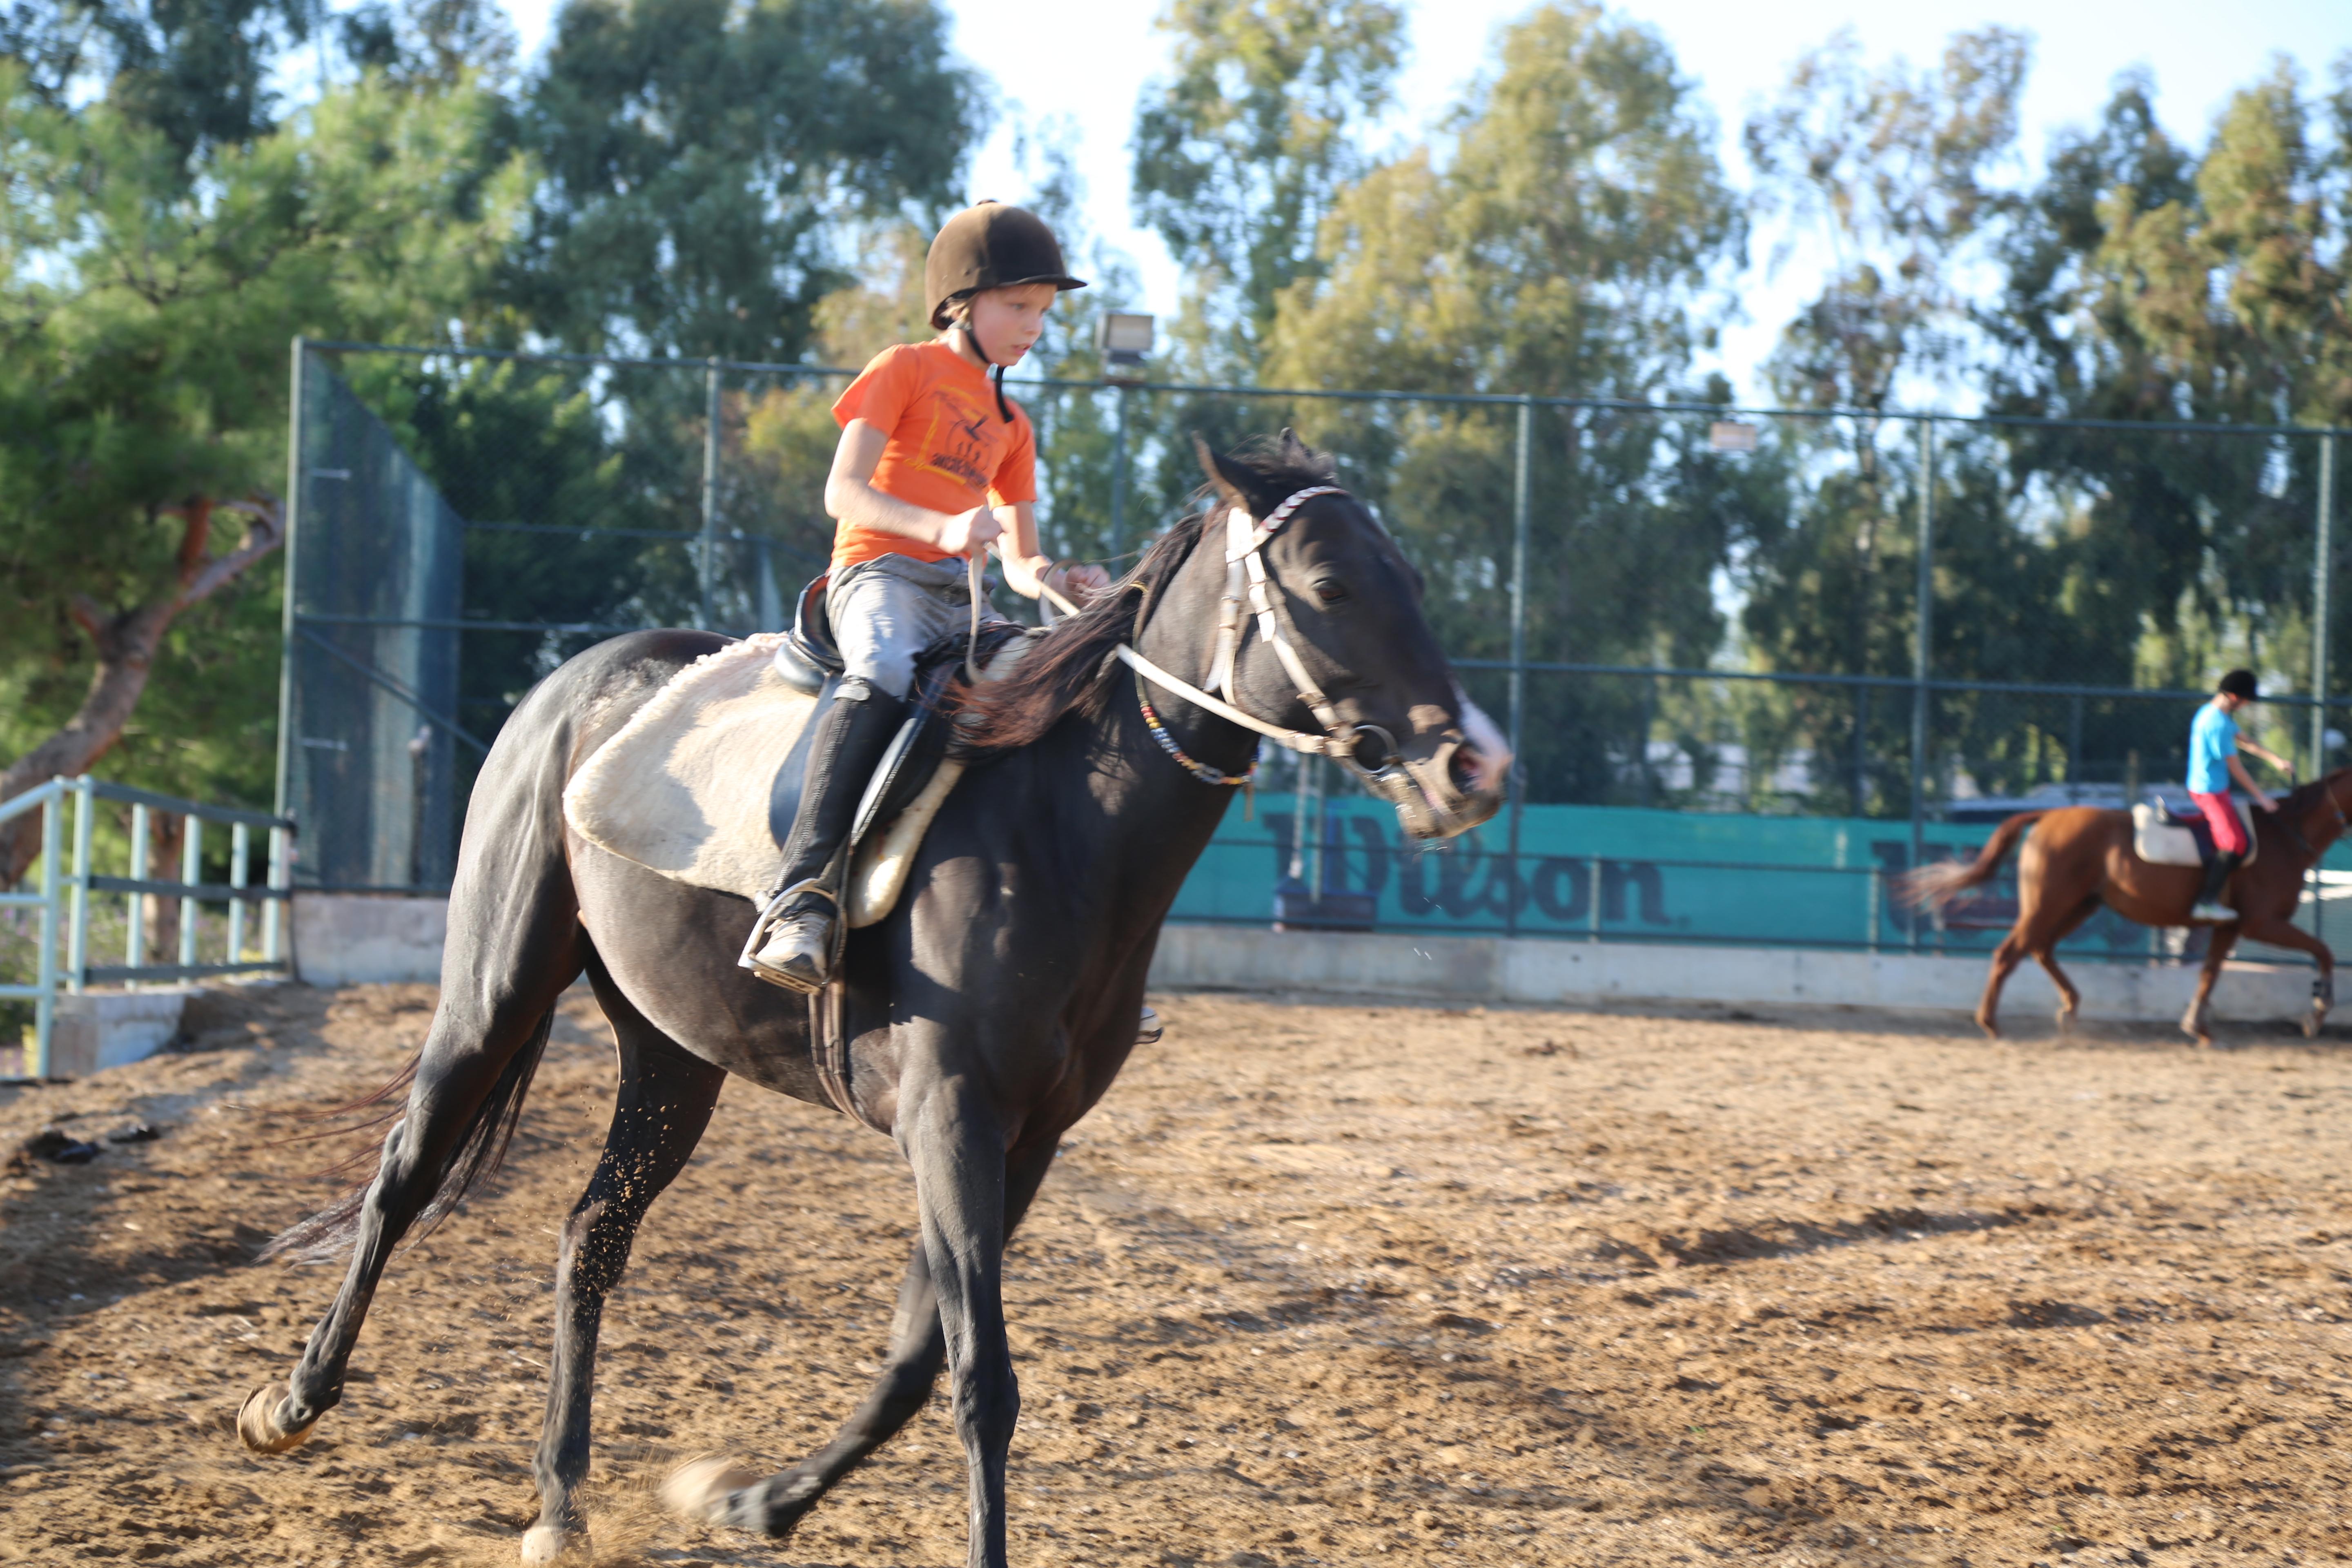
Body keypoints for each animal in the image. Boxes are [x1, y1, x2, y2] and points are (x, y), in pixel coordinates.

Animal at [229, 435, 1496, 1561]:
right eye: (1329, 584)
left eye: (1417, 581)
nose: (1471, 766)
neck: (1061, 823)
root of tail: (574, 685)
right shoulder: (950, 1117)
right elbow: (982, 1376)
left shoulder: (1020, 1138)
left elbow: (914, 1360)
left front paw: (755, 1502)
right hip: (493, 988)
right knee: (404, 1175)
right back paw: (291, 1403)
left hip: (673, 1059)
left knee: (591, 1233)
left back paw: (558, 1502)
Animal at [1900, 771, 2342, 1044]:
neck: (2284, 837)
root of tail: (2048, 818)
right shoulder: (2262, 923)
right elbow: (2324, 951)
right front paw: (2318, 1012)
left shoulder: (2229, 928)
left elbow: (2209, 974)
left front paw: (2197, 1027)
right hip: (2049, 904)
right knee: (2010, 953)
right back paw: (1991, 1023)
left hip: (2078, 905)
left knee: (2040, 949)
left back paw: (2068, 1010)